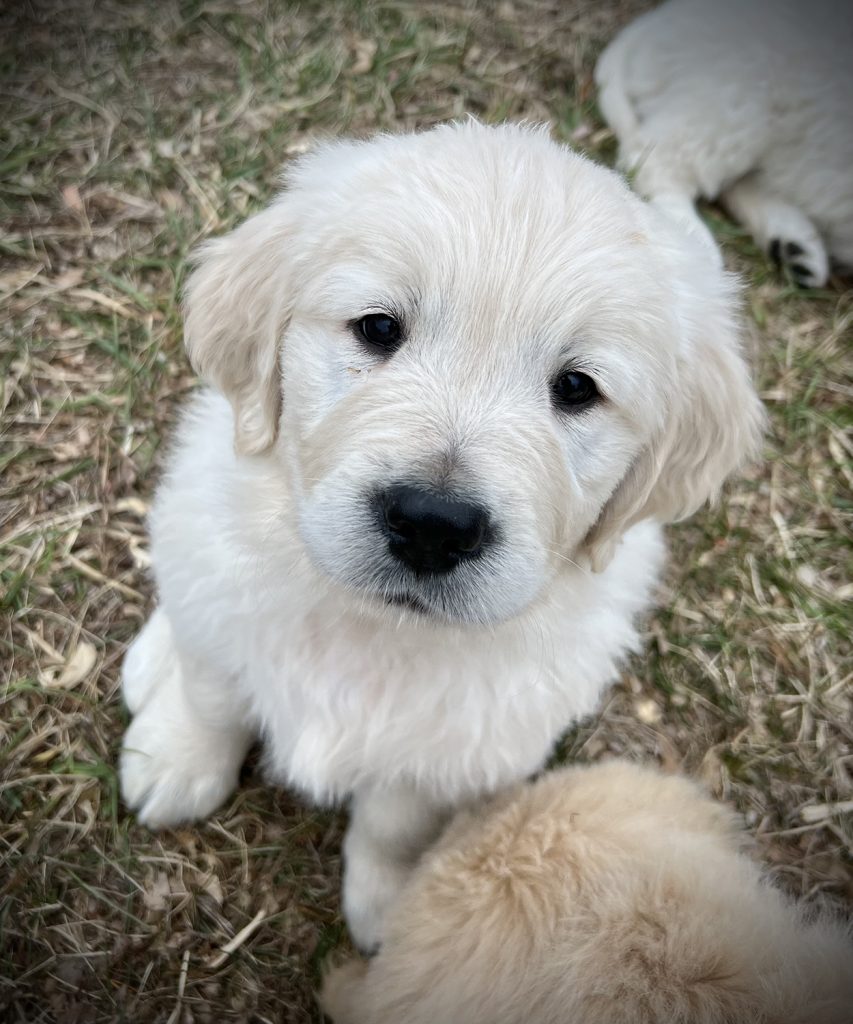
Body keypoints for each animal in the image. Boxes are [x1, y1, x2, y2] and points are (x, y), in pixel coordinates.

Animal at [116, 121, 761, 950]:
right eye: (378, 328)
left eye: (576, 387)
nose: (431, 525)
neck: (373, 628)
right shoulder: (226, 624)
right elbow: (213, 700)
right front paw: (177, 760)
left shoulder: (458, 751)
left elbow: (396, 824)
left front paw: (392, 906)